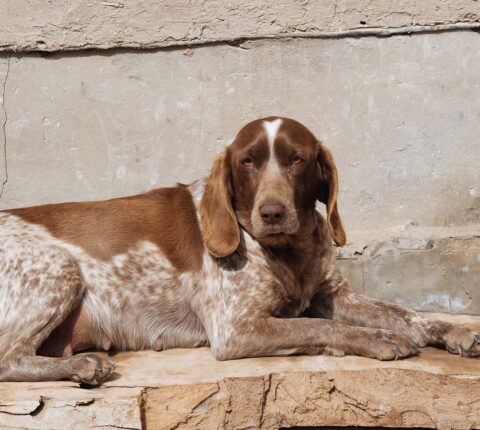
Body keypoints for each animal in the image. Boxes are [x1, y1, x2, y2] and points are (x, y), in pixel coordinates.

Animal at [0, 116, 480, 384]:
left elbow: (408, 314)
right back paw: (84, 367)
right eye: (247, 161)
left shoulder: (334, 295)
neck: (288, 251)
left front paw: (453, 331)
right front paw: (378, 339)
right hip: (59, 267)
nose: (272, 212)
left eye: (296, 159)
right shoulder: (236, 328)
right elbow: (320, 327)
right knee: (8, 359)